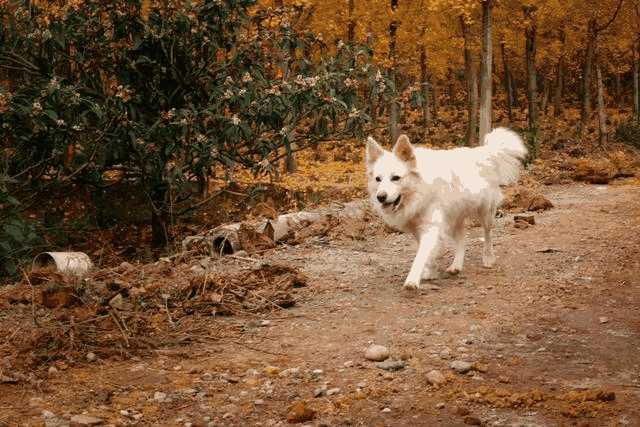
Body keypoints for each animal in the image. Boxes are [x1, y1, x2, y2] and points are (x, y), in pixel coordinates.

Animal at [368, 129, 528, 290]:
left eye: (396, 178)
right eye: (378, 179)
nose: (380, 197)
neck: (419, 190)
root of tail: (484, 151)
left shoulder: (431, 226)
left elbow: (421, 255)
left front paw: (412, 280)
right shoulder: (419, 228)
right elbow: (428, 252)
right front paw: (431, 271)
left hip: (485, 213)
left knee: (487, 235)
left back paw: (488, 258)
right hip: (454, 217)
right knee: (462, 239)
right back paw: (456, 266)